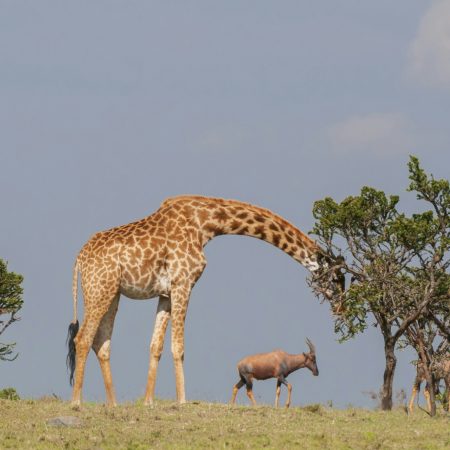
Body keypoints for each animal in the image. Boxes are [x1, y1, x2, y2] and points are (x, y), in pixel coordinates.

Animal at [68, 195, 340, 406]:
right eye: (338, 277)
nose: (339, 306)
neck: (207, 223)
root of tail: (79, 258)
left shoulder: (166, 292)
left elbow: (156, 346)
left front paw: (148, 402)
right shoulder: (184, 283)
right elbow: (178, 347)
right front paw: (182, 400)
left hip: (112, 293)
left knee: (101, 343)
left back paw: (112, 404)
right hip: (98, 290)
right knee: (82, 338)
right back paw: (76, 402)